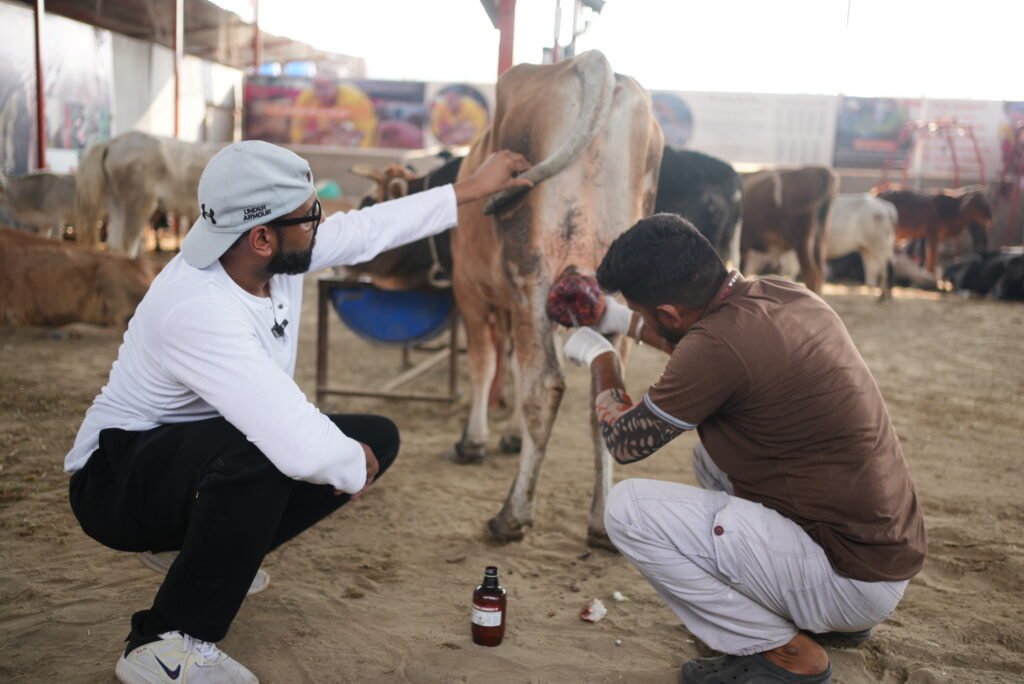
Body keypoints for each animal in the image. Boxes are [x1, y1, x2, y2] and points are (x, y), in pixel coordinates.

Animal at [449, 51, 663, 547]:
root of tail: (588, 60)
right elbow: (508, 363)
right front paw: (508, 437)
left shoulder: (470, 291)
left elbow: (486, 363)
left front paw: (474, 440)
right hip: (613, 282)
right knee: (608, 390)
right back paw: (601, 522)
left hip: (532, 275)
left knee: (544, 384)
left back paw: (511, 515)